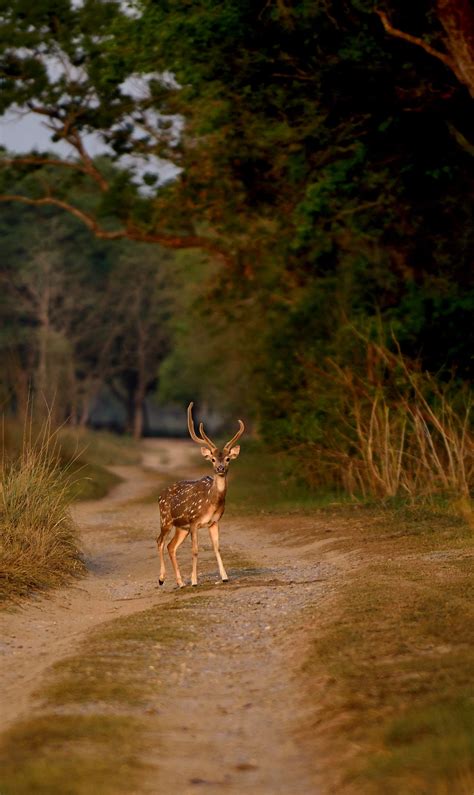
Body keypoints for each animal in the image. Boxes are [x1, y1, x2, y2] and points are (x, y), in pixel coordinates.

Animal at [156, 404, 244, 584]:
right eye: (212, 459)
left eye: (228, 459)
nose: (220, 468)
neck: (211, 502)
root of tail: (160, 495)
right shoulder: (194, 521)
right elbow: (195, 550)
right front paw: (195, 580)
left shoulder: (214, 522)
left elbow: (217, 547)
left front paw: (225, 577)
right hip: (166, 519)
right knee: (159, 541)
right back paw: (161, 579)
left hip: (181, 528)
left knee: (171, 546)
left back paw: (180, 583)